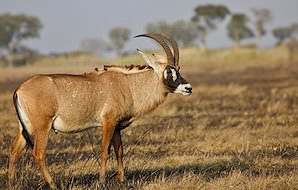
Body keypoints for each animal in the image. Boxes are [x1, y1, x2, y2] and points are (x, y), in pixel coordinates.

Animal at [8, 32, 193, 189]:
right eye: (168, 71)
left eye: (179, 70)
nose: (188, 88)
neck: (128, 85)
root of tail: (20, 88)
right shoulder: (108, 122)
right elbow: (105, 150)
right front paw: (102, 181)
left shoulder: (116, 126)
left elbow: (119, 151)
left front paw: (122, 180)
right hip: (42, 126)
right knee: (39, 153)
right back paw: (53, 185)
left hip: (26, 126)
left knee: (14, 149)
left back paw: (12, 183)